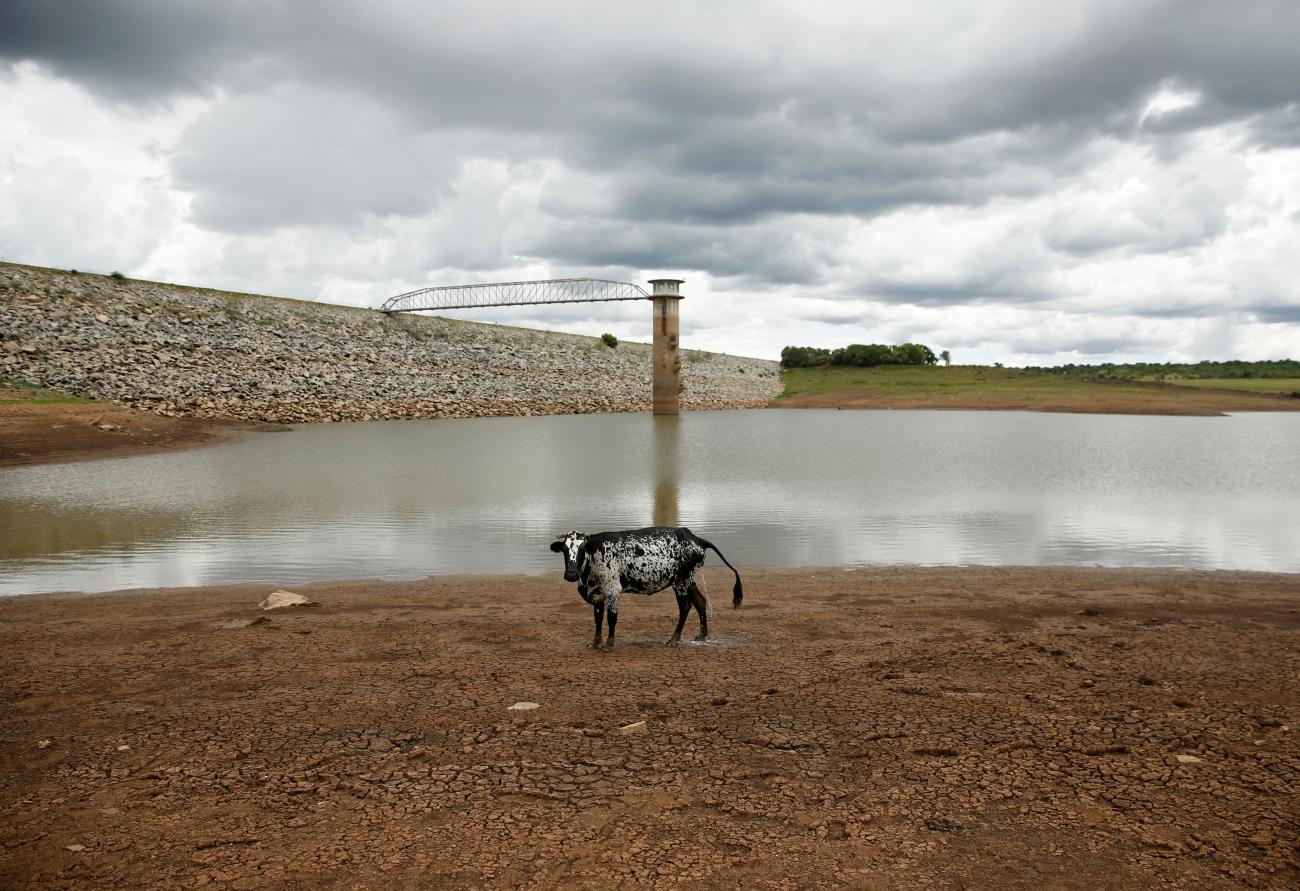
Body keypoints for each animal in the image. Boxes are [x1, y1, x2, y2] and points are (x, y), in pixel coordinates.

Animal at [548, 525, 743, 650]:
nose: (571, 574)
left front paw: (609, 644)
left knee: (685, 607)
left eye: (582, 549)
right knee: (701, 603)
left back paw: (674, 639)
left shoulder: (613, 591)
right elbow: (598, 619)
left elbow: (611, 618)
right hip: (689, 581)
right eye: (565, 550)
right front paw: (596, 643)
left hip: (681, 582)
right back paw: (703, 635)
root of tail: (694, 537)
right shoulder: (597, 593)